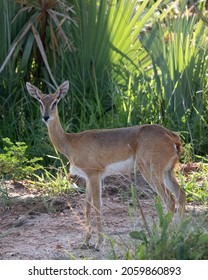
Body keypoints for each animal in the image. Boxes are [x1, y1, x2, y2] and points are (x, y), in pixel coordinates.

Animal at [25, 81, 186, 249]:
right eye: (40, 101)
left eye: (55, 101)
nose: (46, 117)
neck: (71, 143)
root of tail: (172, 136)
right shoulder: (87, 178)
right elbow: (87, 206)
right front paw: (86, 240)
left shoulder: (94, 174)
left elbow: (97, 205)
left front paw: (99, 242)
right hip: (167, 172)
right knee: (181, 195)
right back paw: (179, 233)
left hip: (150, 172)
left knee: (170, 200)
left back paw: (165, 235)